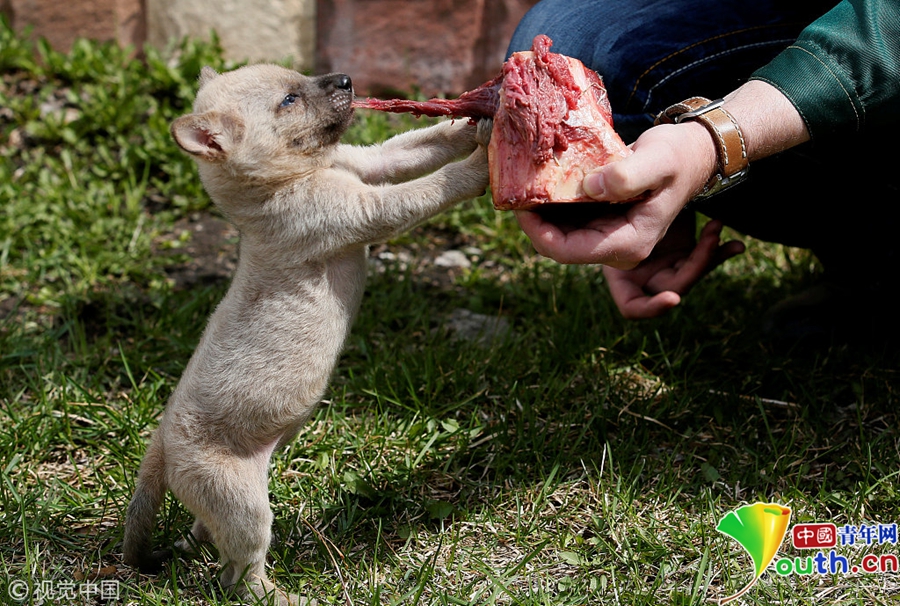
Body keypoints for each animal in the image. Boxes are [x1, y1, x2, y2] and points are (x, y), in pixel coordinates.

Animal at [123, 63, 490, 605]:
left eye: (298, 79)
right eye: (289, 100)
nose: (346, 79)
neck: (291, 178)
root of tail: (162, 444)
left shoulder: (369, 162)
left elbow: (417, 146)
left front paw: (477, 120)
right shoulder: (369, 209)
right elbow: (431, 186)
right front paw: (483, 163)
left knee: (207, 538)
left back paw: (190, 548)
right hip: (244, 507)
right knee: (240, 575)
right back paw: (282, 596)